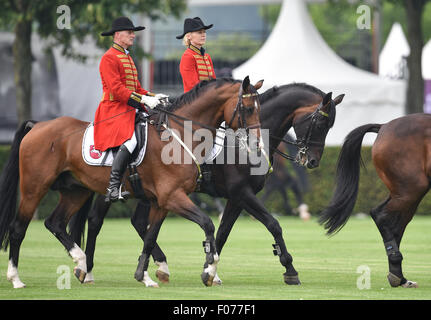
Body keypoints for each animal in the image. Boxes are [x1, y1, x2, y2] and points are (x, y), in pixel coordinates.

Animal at [0, 76, 264, 288]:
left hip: (76, 191)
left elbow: (150, 237)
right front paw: (209, 269)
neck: (180, 134)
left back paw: (81, 262)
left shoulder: (162, 202)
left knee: (55, 223)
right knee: (18, 228)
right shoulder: (173, 196)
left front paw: (143, 275)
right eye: (247, 108)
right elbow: (208, 225)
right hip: (34, 188)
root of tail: (39, 125)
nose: (257, 144)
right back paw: (17, 278)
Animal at [71, 82, 348, 284]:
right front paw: (289, 268)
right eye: (321, 122)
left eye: (330, 124)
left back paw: (159, 266)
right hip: (120, 190)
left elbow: (223, 233)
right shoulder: (242, 193)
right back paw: (88, 269)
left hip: (148, 192)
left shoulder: (237, 198)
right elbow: (273, 224)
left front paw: (211, 269)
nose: (312, 160)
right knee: (95, 221)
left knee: (138, 222)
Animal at [318, 114, 430, 288]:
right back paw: (397, 272)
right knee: (383, 216)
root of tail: (384, 126)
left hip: (402, 191)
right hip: (412, 188)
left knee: (392, 222)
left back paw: (399, 276)